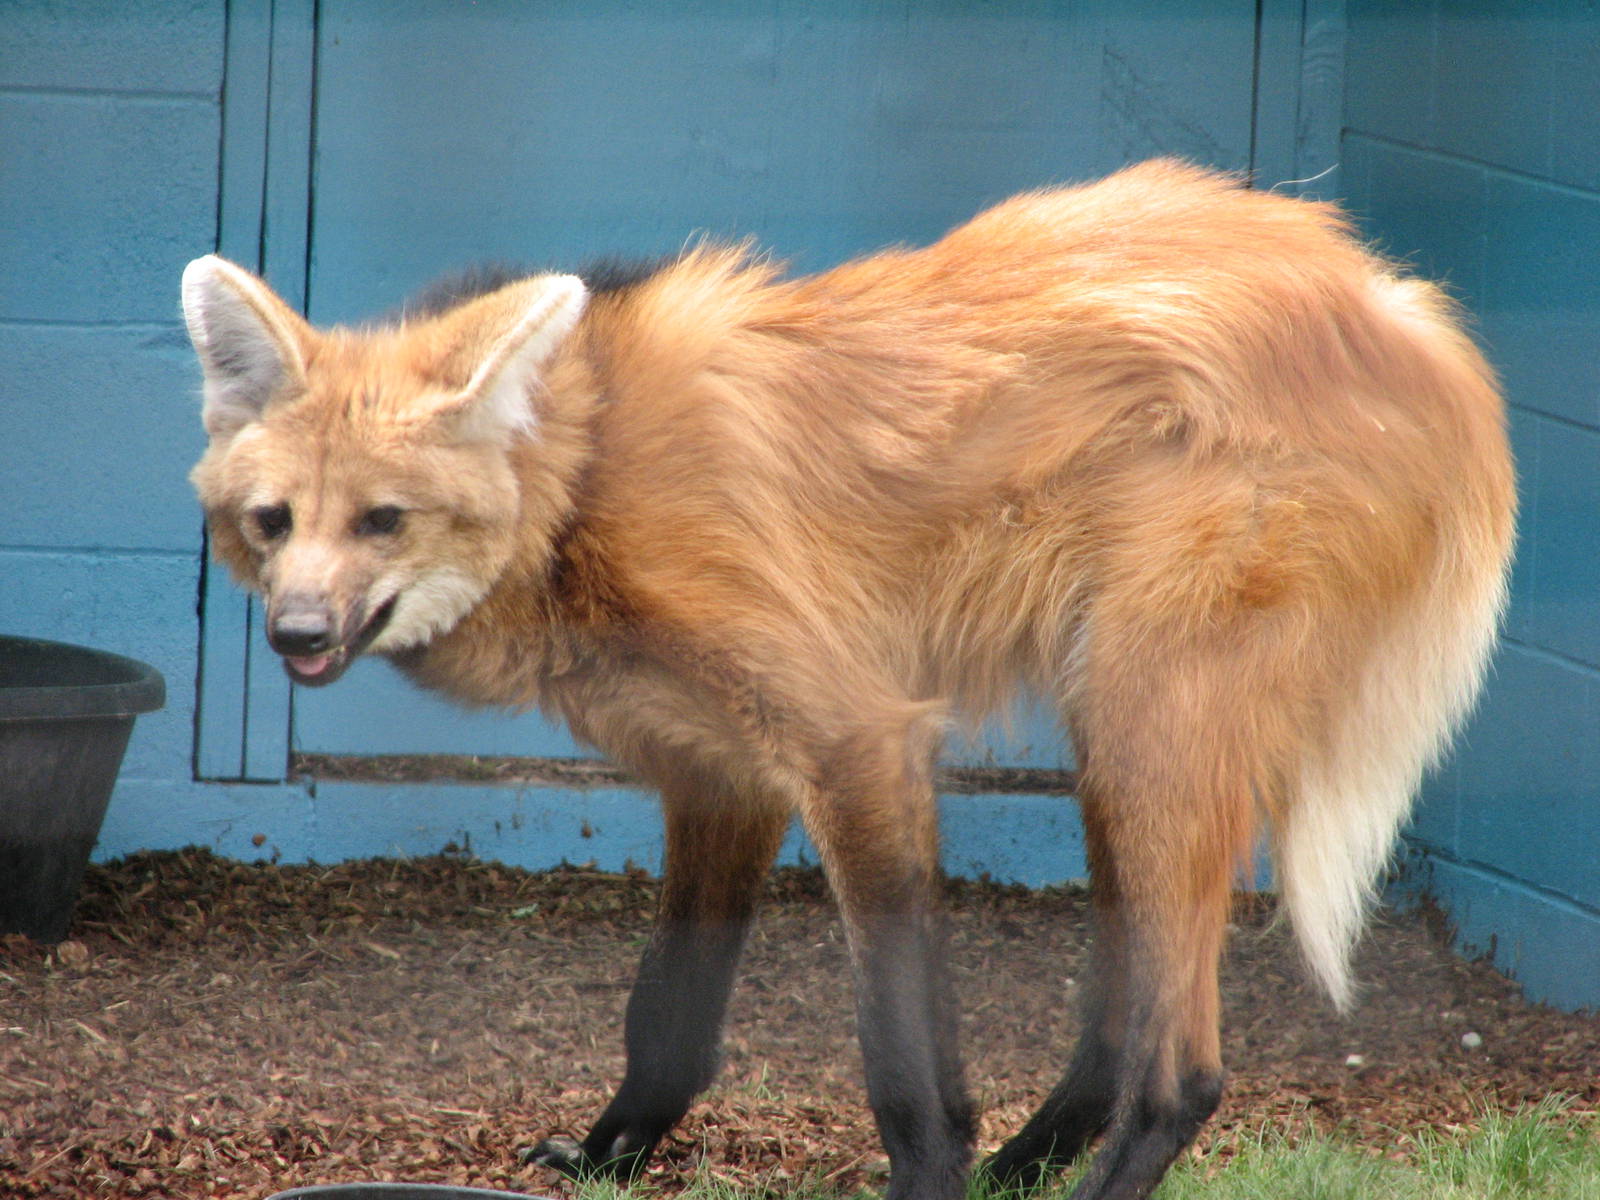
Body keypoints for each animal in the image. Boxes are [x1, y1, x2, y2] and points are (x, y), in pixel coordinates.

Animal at [181, 160, 1515, 1200]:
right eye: (272, 521)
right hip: (1115, 730)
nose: (296, 631)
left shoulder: (855, 740)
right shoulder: (717, 768)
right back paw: (1025, 1165)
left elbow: (901, 1057)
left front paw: (925, 1175)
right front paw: (611, 1159)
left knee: (1183, 1073)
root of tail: (1402, 307)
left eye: (384, 521)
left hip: (1151, 720)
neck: (585, 483)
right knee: (1122, 1022)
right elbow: (668, 1016)